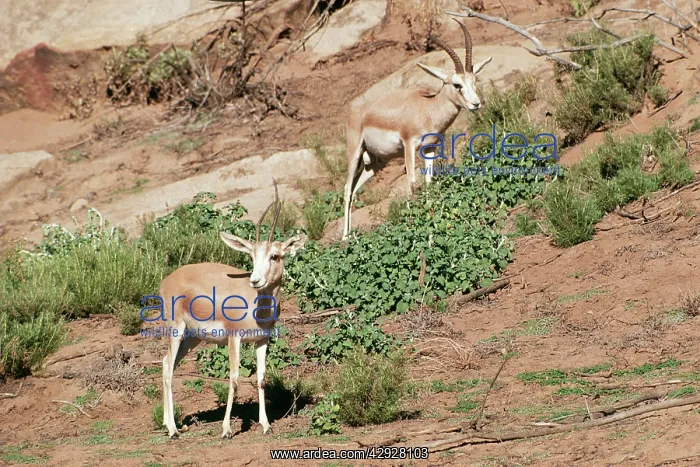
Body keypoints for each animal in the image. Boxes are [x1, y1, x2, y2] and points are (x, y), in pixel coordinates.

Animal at [158, 183, 307, 439]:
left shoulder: (262, 340)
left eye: (274, 255)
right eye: (251, 256)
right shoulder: (233, 337)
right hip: (175, 330)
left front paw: (266, 425)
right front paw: (227, 429)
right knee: (168, 370)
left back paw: (170, 425)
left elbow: (261, 378)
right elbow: (234, 378)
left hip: (192, 337)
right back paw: (173, 431)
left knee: (168, 363)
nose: (255, 280)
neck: (257, 308)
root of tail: (167, 280)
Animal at [342, 19, 492, 239]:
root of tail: (354, 108)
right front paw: (411, 223)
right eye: (457, 84)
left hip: (375, 163)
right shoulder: (409, 145)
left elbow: (428, 181)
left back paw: (351, 234)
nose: (476, 104)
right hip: (354, 153)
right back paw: (344, 237)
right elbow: (412, 182)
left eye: (474, 81)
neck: (428, 109)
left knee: (353, 188)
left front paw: (430, 218)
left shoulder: (430, 148)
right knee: (346, 187)